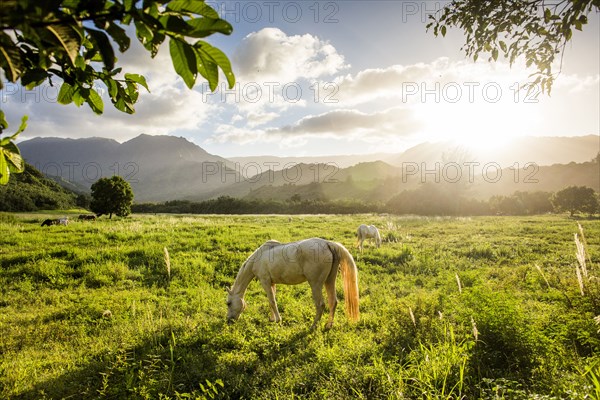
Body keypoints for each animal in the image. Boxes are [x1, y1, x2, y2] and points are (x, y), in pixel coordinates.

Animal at [226, 238, 358, 328]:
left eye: (228, 303)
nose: (229, 321)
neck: (259, 257)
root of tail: (328, 244)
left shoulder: (265, 281)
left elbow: (272, 301)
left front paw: (278, 320)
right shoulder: (271, 283)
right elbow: (271, 301)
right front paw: (272, 319)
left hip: (316, 284)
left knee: (320, 304)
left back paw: (313, 325)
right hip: (330, 280)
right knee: (333, 302)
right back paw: (328, 325)